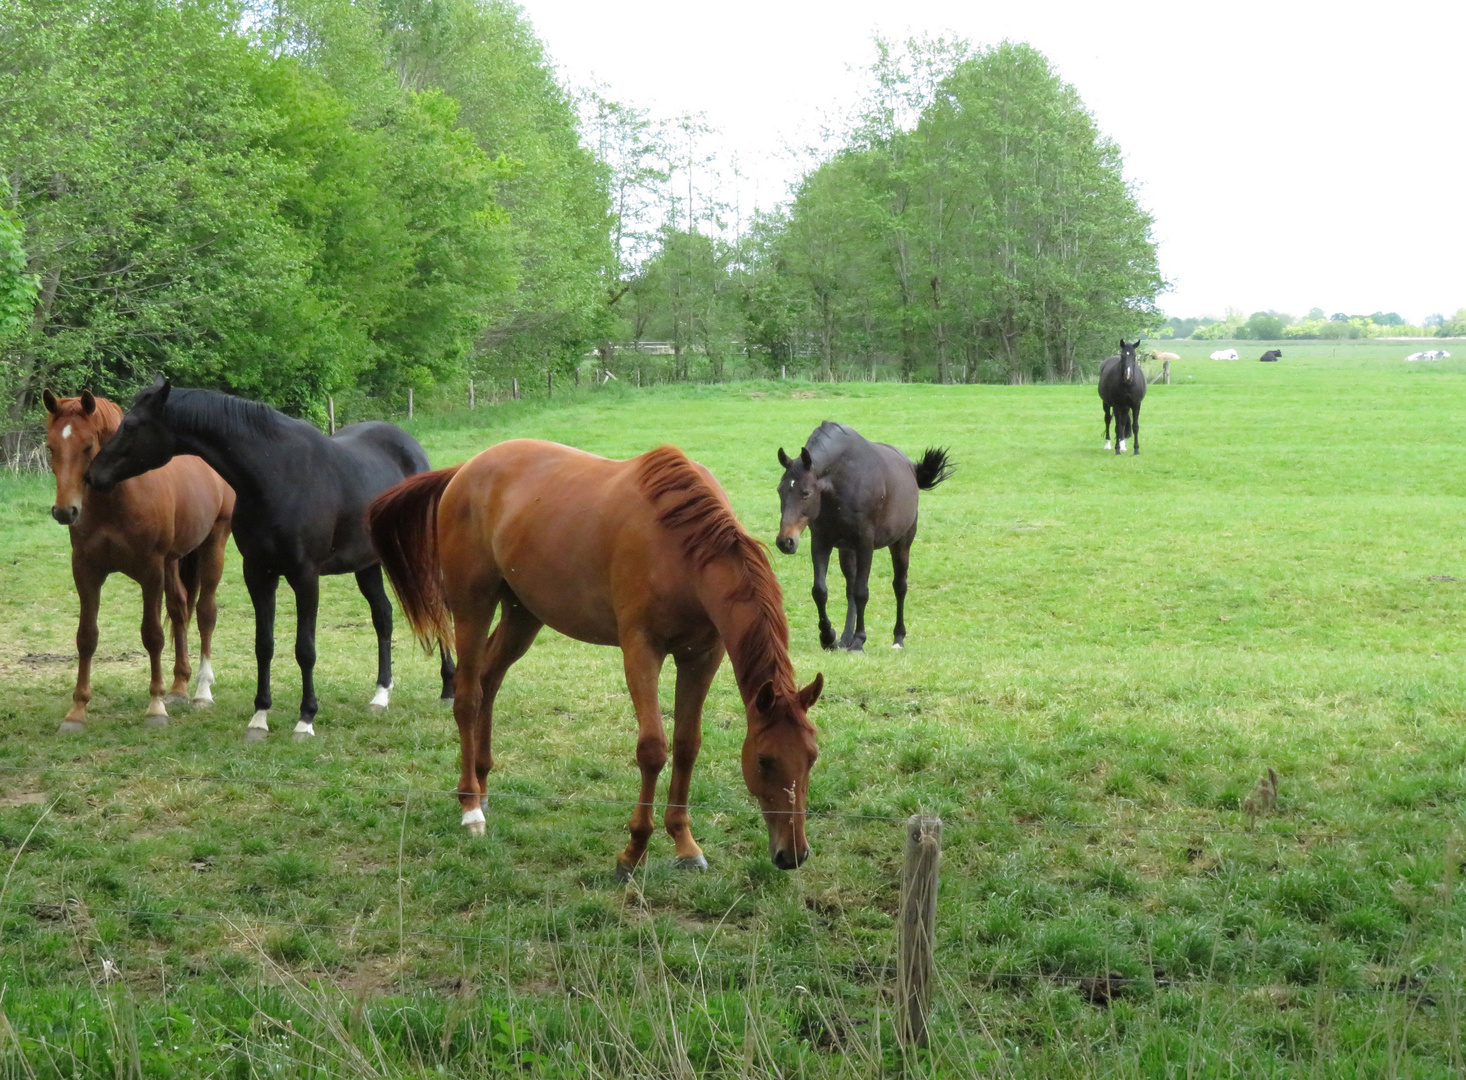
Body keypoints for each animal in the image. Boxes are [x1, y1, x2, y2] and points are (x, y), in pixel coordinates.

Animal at [42, 386, 233, 732]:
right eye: (51, 447)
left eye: (87, 446)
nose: (65, 511)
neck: (117, 498)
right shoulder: (86, 571)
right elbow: (86, 637)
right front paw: (77, 711)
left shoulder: (150, 572)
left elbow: (152, 635)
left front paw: (155, 706)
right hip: (172, 562)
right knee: (180, 609)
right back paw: (179, 687)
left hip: (214, 544)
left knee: (205, 613)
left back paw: (201, 692)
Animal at [366, 442, 826, 873]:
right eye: (765, 760)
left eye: (812, 757)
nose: (793, 854)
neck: (683, 548)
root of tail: (465, 470)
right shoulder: (641, 651)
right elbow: (653, 749)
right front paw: (633, 851)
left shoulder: (702, 657)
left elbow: (686, 745)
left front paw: (684, 843)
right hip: (471, 606)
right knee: (467, 697)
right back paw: (470, 805)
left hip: (523, 614)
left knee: (489, 680)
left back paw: (482, 781)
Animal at [774, 422, 955, 647]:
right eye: (780, 490)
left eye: (806, 492)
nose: (785, 541)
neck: (844, 479)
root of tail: (911, 469)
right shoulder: (821, 542)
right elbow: (820, 590)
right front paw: (828, 637)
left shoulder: (865, 544)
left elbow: (862, 592)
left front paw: (859, 641)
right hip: (847, 550)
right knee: (850, 588)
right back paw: (845, 638)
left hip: (901, 543)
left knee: (900, 586)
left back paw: (897, 638)